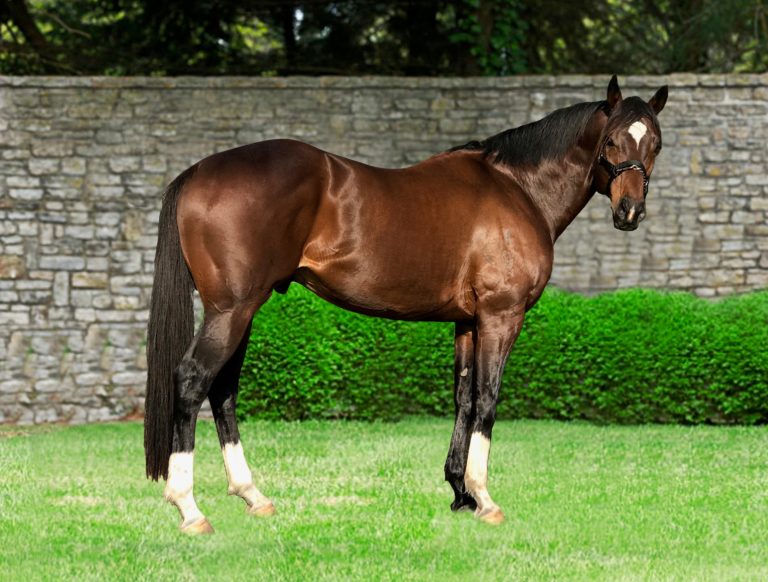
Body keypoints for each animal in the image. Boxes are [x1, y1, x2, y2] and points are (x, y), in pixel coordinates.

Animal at [144, 75, 667, 533]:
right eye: (612, 141)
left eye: (656, 143)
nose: (630, 212)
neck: (518, 188)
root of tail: (197, 172)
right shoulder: (501, 316)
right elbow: (488, 397)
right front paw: (485, 498)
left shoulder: (467, 322)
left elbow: (463, 397)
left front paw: (460, 494)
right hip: (231, 311)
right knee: (192, 381)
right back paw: (189, 509)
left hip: (241, 312)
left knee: (223, 390)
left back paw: (253, 496)